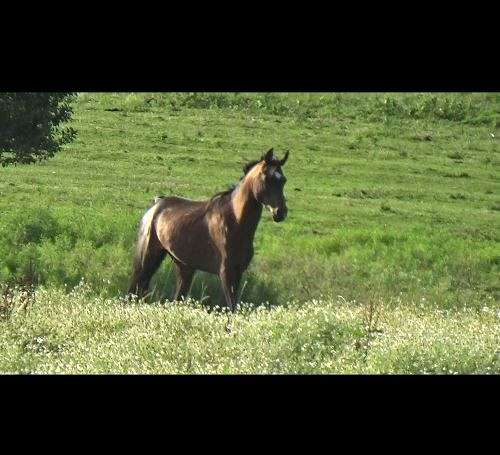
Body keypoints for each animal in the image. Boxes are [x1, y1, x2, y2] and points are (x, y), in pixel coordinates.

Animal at [128, 148, 290, 312]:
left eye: (283, 180)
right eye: (267, 178)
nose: (280, 213)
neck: (235, 221)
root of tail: (157, 204)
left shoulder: (238, 272)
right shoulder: (226, 273)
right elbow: (232, 308)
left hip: (184, 267)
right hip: (148, 258)